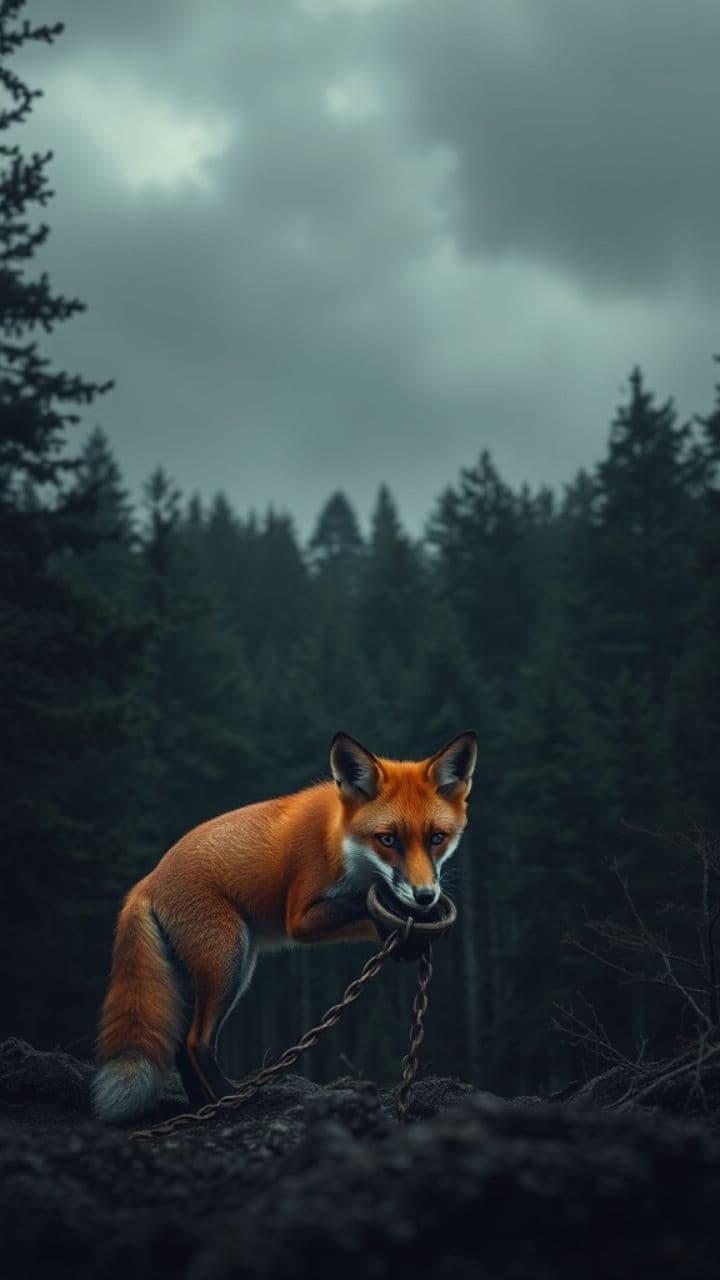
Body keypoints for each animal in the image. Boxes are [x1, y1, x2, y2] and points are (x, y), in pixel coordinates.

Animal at [91, 729, 477, 1124]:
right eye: (388, 839)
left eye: (437, 838)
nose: (425, 896)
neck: (339, 842)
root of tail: (147, 881)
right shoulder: (300, 918)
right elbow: (361, 902)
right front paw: (395, 911)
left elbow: (370, 915)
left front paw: (405, 936)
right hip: (227, 961)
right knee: (197, 1041)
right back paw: (227, 1100)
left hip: (226, 968)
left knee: (184, 1045)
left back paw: (203, 1106)